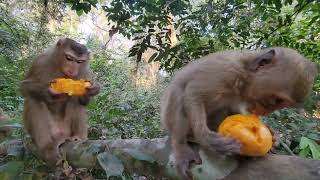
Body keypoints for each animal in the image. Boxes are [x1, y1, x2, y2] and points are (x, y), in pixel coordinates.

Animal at [20, 37, 100, 166]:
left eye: (79, 62)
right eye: (69, 58)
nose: (72, 70)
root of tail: (61, 134)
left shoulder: (86, 72)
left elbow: (83, 101)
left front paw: (92, 89)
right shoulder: (40, 61)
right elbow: (24, 87)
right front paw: (49, 93)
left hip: (67, 130)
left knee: (75, 101)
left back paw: (78, 137)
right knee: (33, 99)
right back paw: (46, 146)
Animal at [160, 47, 318, 179]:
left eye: (282, 104)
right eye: (276, 100)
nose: (265, 111)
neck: (245, 74)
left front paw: (273, 136)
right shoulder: (226, 72)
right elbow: (193, 93)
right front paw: (206, 138)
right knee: (179, 93)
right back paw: (181, 145)